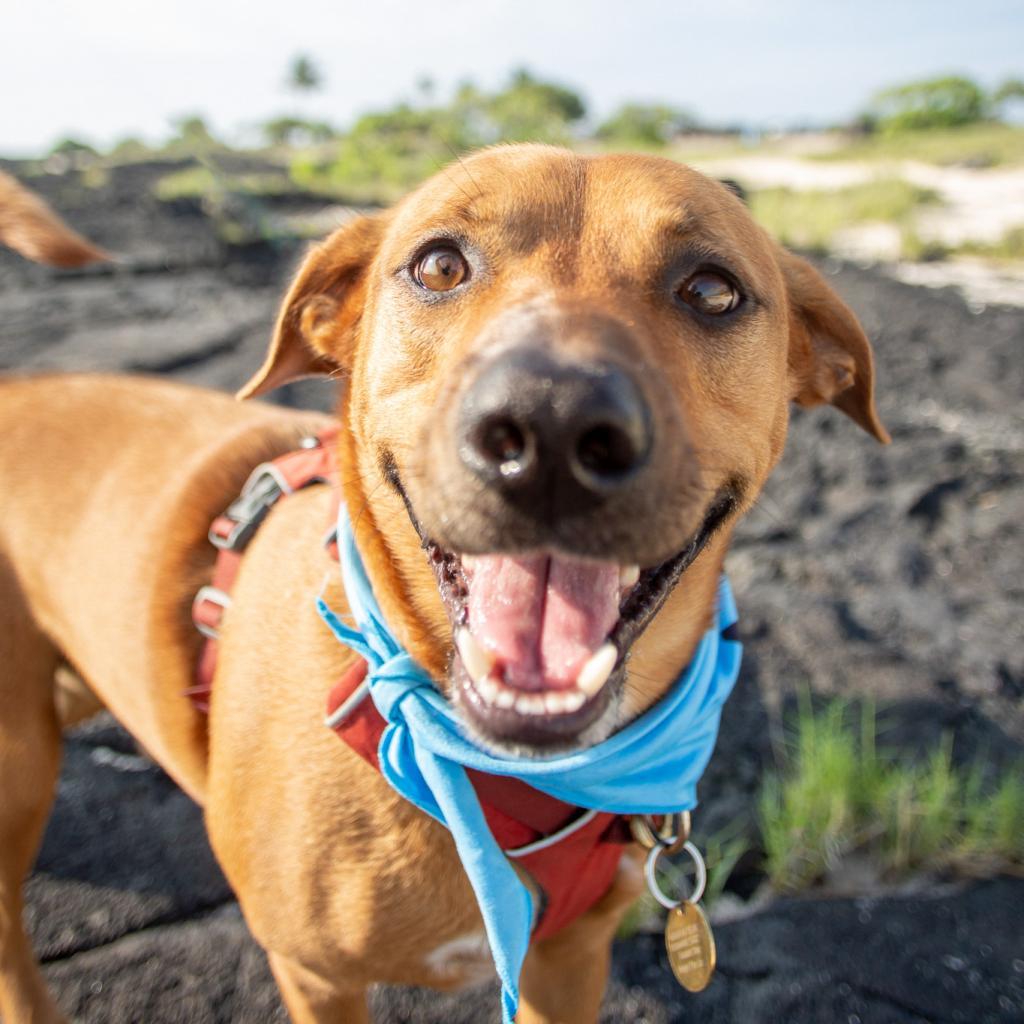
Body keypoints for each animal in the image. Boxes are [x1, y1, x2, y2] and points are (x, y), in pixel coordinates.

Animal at [0, 146, 888, 1024]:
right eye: (439, 266)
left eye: (710, 290)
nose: (552, 426)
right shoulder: (316, 978)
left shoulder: (569, 963)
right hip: (19, 773)